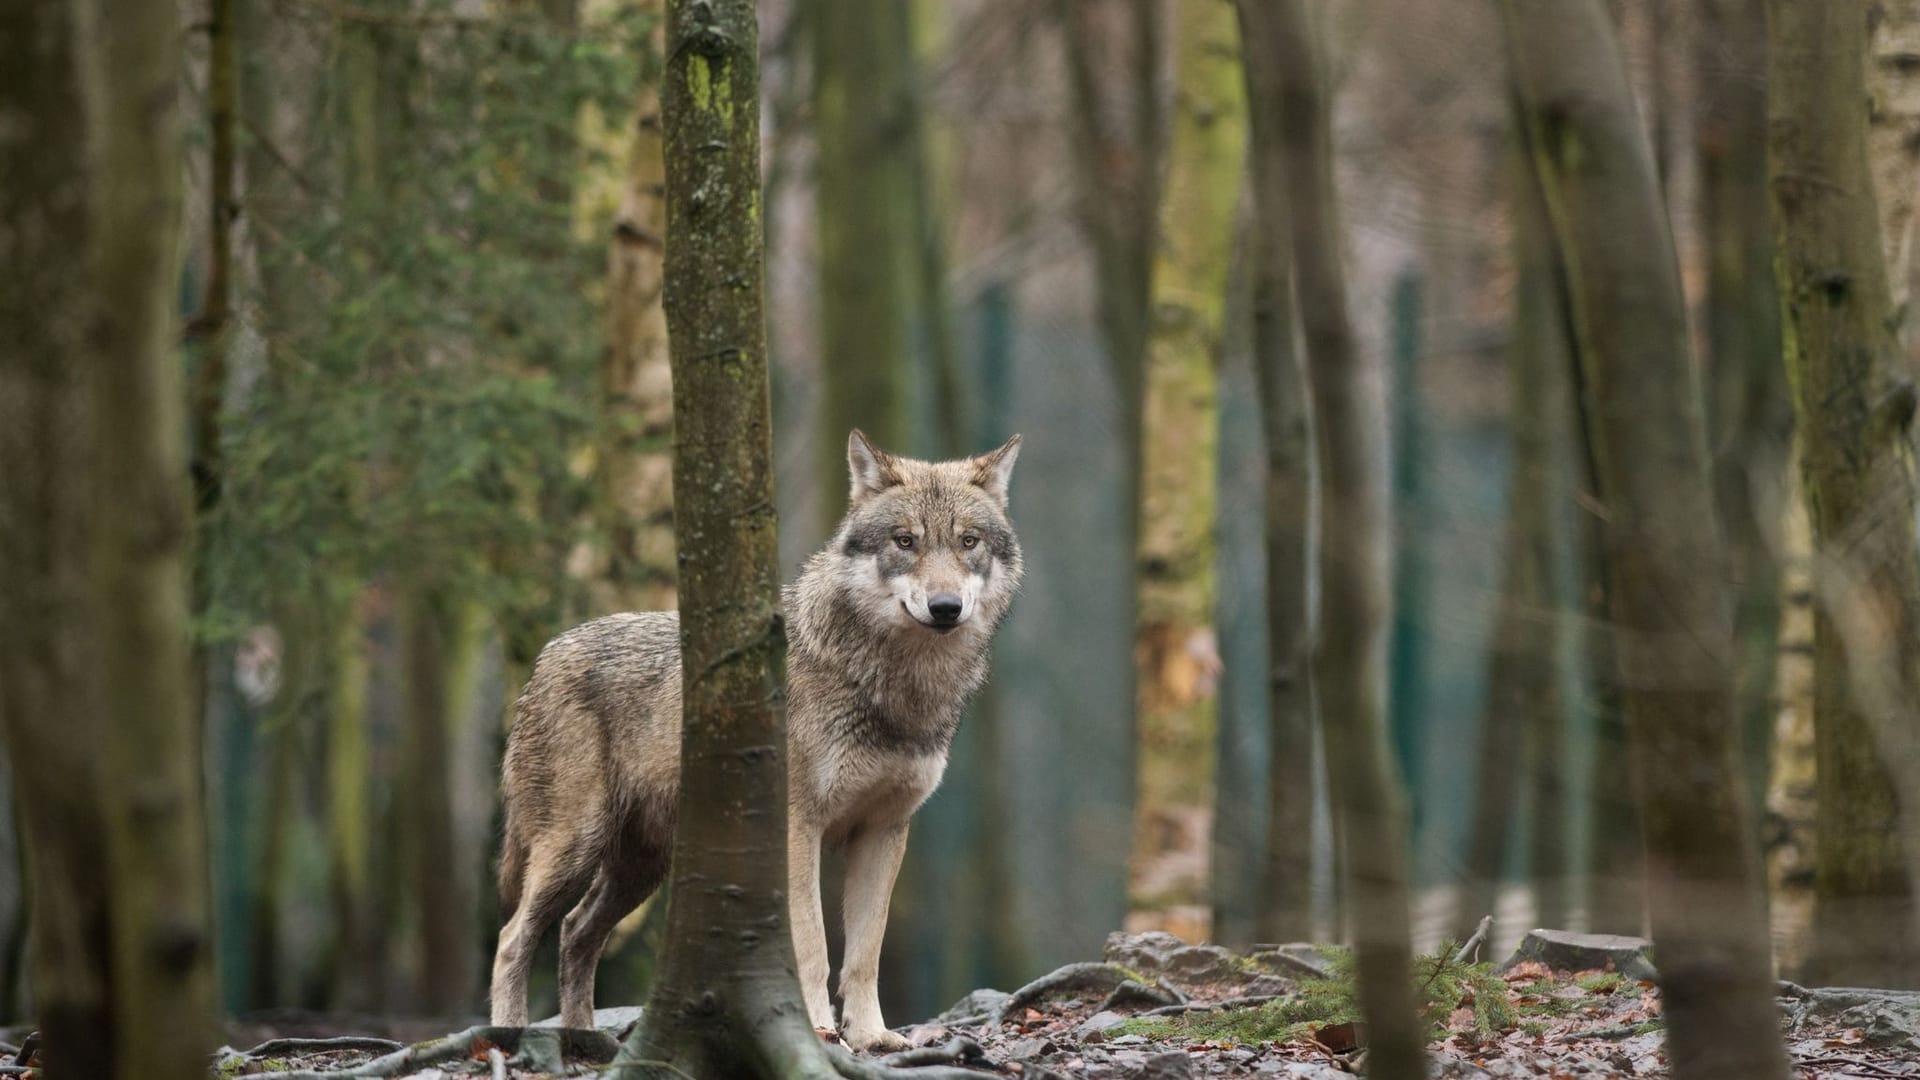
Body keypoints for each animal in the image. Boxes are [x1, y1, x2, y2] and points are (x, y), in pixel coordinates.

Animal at [491, 426, 1021, 1045]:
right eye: (905, 541)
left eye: (968, 542)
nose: (945, 607)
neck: (894, 687)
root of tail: (545, 656)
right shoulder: (798, 828)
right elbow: (813, 946)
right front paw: (817, 1031)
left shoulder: (884, 831)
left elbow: (865, 954)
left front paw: (870, 1037)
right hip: (575, 848)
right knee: (512, 939)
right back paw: (508, 1037)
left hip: (639, 868)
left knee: (576, 933)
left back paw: (584, 1037)